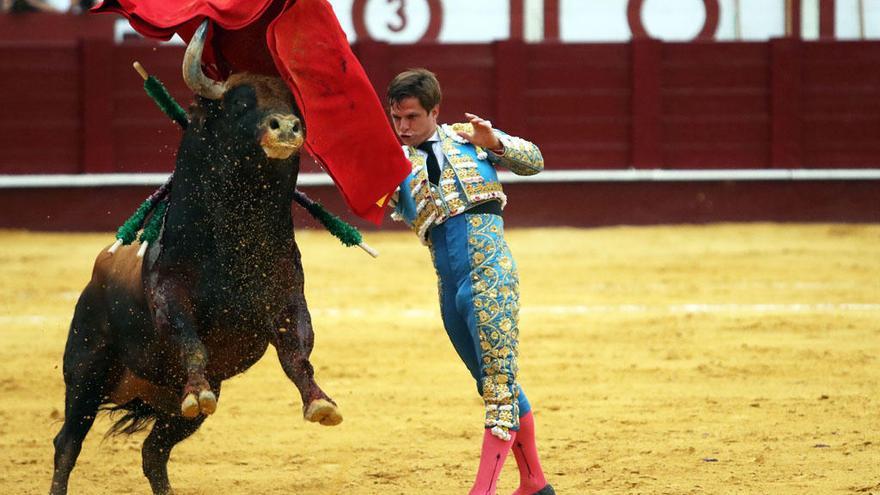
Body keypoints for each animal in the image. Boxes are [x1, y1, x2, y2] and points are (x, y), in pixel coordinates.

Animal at [48, 20, 344, 495]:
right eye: (240, 104)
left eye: (292, 104)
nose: (286, 126)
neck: (237, 244)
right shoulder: (170, 294)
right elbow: (189, 338)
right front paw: (197, 387)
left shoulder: (287, 300)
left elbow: (297, 352)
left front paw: (320, 403)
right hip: (86, 371)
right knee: (67, 443)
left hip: (173, 410)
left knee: (153, 452)